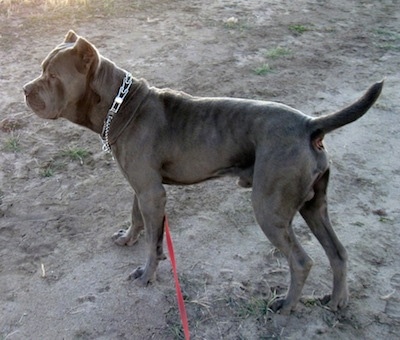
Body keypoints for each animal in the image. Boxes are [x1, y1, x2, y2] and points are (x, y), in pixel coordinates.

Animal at [23, 30, 382, 314]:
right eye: (41, 69)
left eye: (52, 75)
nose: (25, 89)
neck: (119, 104)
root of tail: (310, 125)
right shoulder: (142, 188)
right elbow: (138, 218)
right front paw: (129, 239)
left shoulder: (152, 192)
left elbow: (151, 238)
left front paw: (147, 274)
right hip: (314, 205)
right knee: (338, 252)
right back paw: (337, 302)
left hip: (270, 208)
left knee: (301, 261)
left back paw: (287, 307)